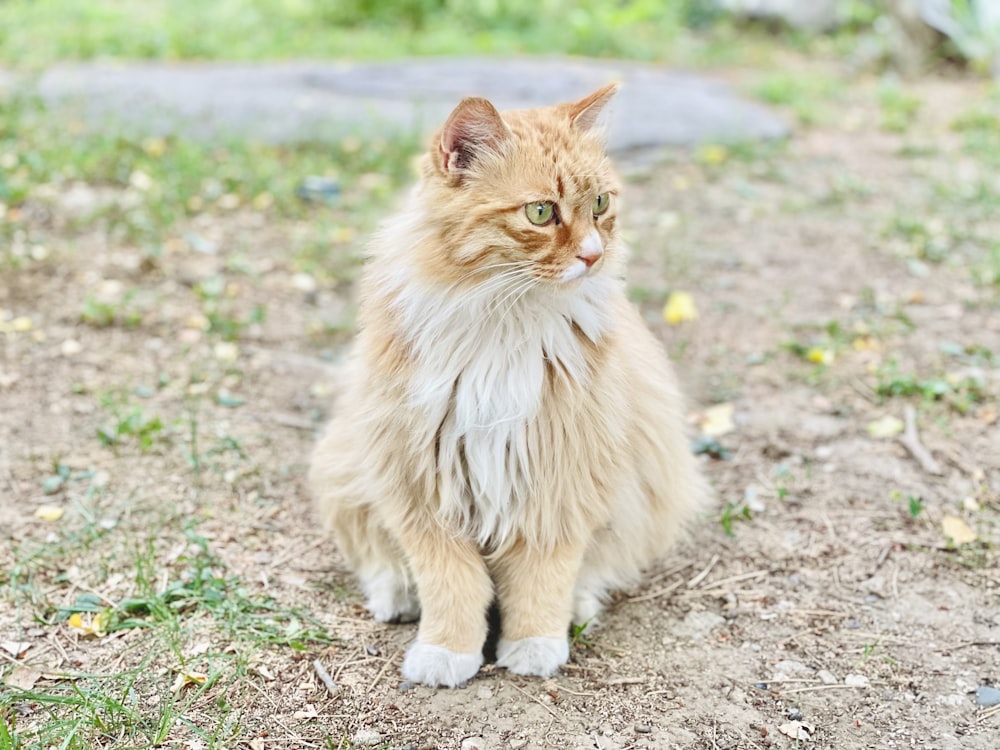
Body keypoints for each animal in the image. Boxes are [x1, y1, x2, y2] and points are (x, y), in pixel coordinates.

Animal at [308, 85, 708, 692]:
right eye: (541, 212)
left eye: (600, 204)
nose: (593, 255)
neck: (504, 317)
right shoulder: (421, 483)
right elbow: (452, 584)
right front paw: (446, 652)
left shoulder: (561, 478)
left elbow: (543, 578)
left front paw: (535, 645)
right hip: (346, 468)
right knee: (381, 559)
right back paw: (396, 594)